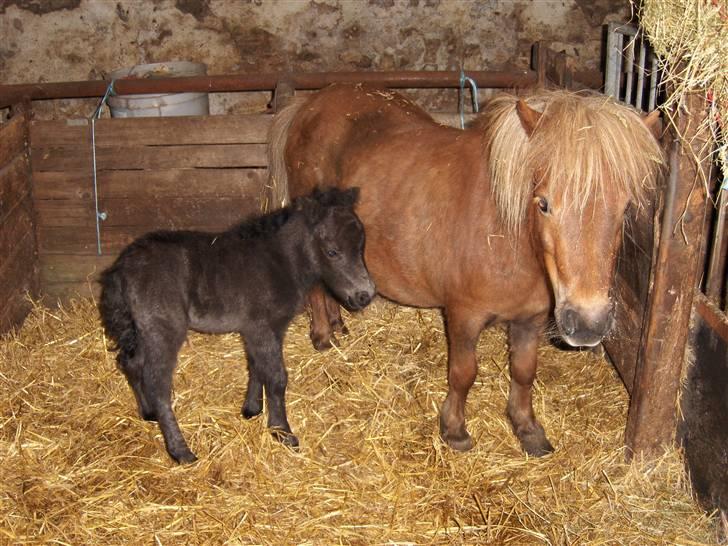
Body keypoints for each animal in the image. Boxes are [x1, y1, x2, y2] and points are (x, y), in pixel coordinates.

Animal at [266, 83, 660, 452]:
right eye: (544, 203)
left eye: (624, 208)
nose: (588, 324)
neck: (508, 238)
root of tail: (311, 103)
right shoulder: (463, 317)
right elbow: (463, 373)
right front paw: (453, 429)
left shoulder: (530, 320)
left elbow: (523, 372)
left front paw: (527, 428)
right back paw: (322, 334)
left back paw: (336, 322)